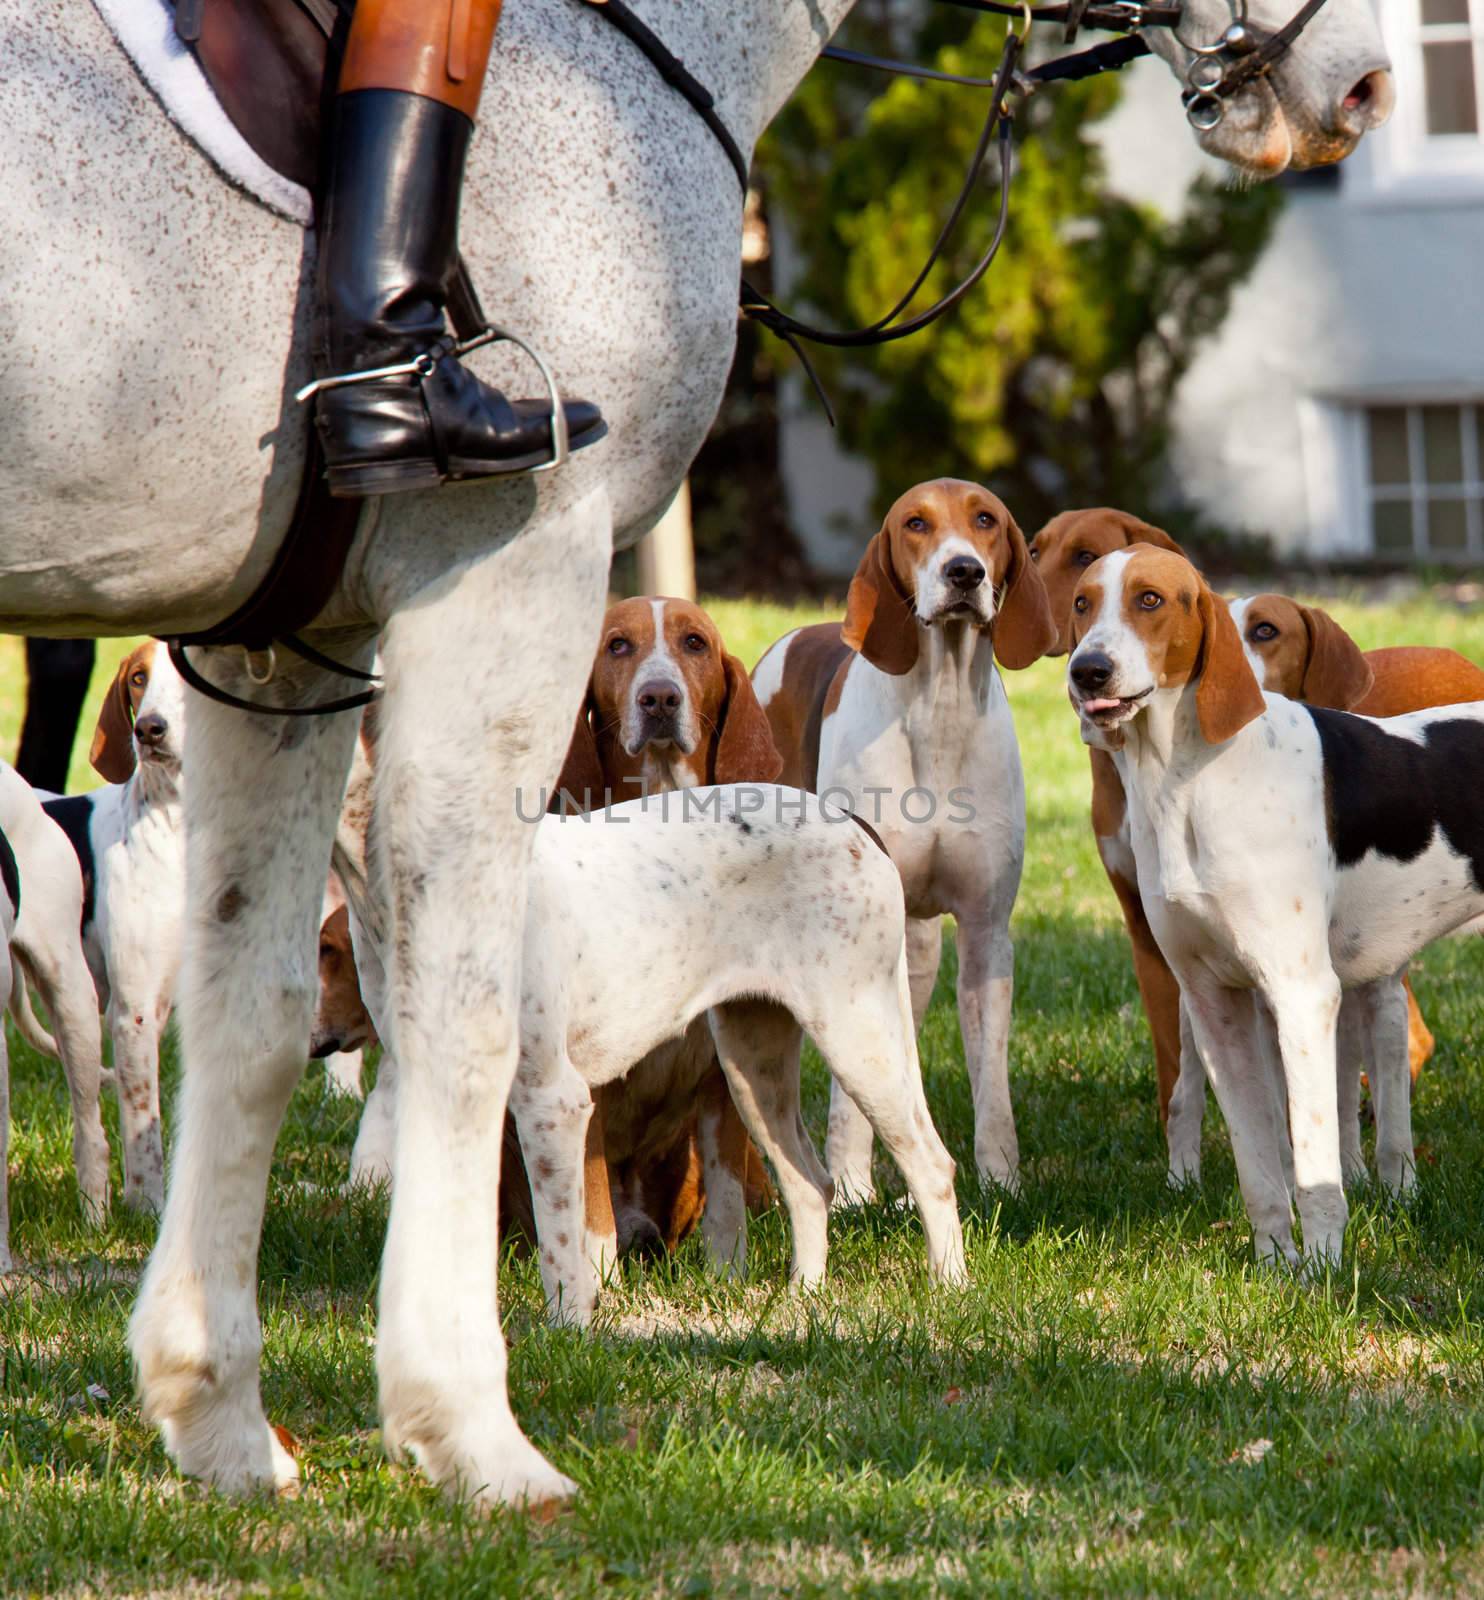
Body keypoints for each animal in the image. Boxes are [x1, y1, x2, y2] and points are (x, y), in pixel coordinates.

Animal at [754, 476, 1055, 1203]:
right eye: (915, 523)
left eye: (986, 520)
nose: (964, 572)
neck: (940, 710)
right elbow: (845, 1100)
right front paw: (851, 1188)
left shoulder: (986, 932)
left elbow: (992, 1082)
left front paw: (1001, 1181)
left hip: (912, 949)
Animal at [1068, 547, 1484, 1260]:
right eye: (1080, 602)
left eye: (1150, 599)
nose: (1086, 668)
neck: (1189, 779)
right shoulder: (1216, 1004)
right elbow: (1261, 1167)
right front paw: (1276, 1264)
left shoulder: (1302, 995)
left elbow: (1315, 1159)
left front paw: (1323, 1268)